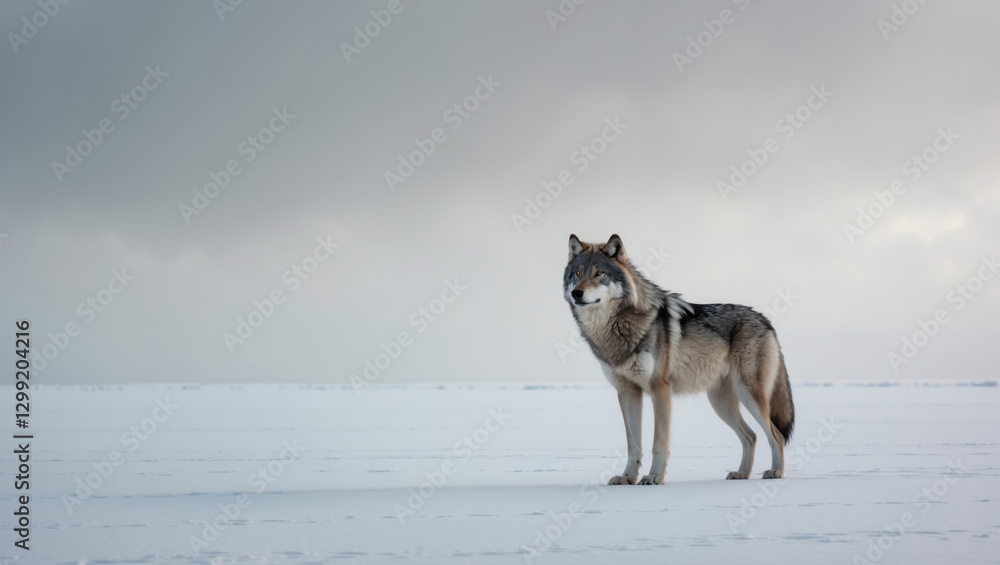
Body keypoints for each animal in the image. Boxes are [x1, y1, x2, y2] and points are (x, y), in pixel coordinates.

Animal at [564, 234, 794, 484]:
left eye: (599, 273)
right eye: (577, 274)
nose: (577, 293)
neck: (617, 329)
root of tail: (764, 319)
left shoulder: (660, 389)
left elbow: (658, 442)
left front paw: (654, 477)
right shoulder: (627, 393)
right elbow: (633, 445)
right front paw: (627, 478)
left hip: (749, 396)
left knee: (776, 434)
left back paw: (776, 472)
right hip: (720, 402)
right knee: (751, 436)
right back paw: (741, 473)